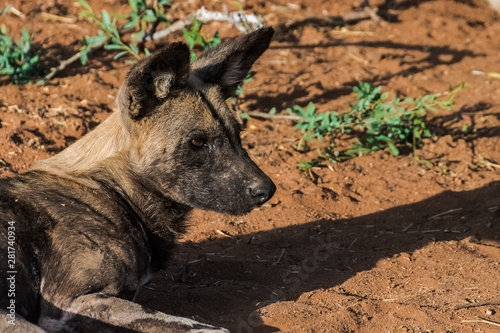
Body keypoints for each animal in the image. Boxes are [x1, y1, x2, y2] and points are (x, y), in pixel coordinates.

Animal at [0, 27, 276, 330]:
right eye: (198, 142)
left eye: (237, 135)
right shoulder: (68, 305)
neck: (113, 189)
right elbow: (184, 324)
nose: (267, 190)